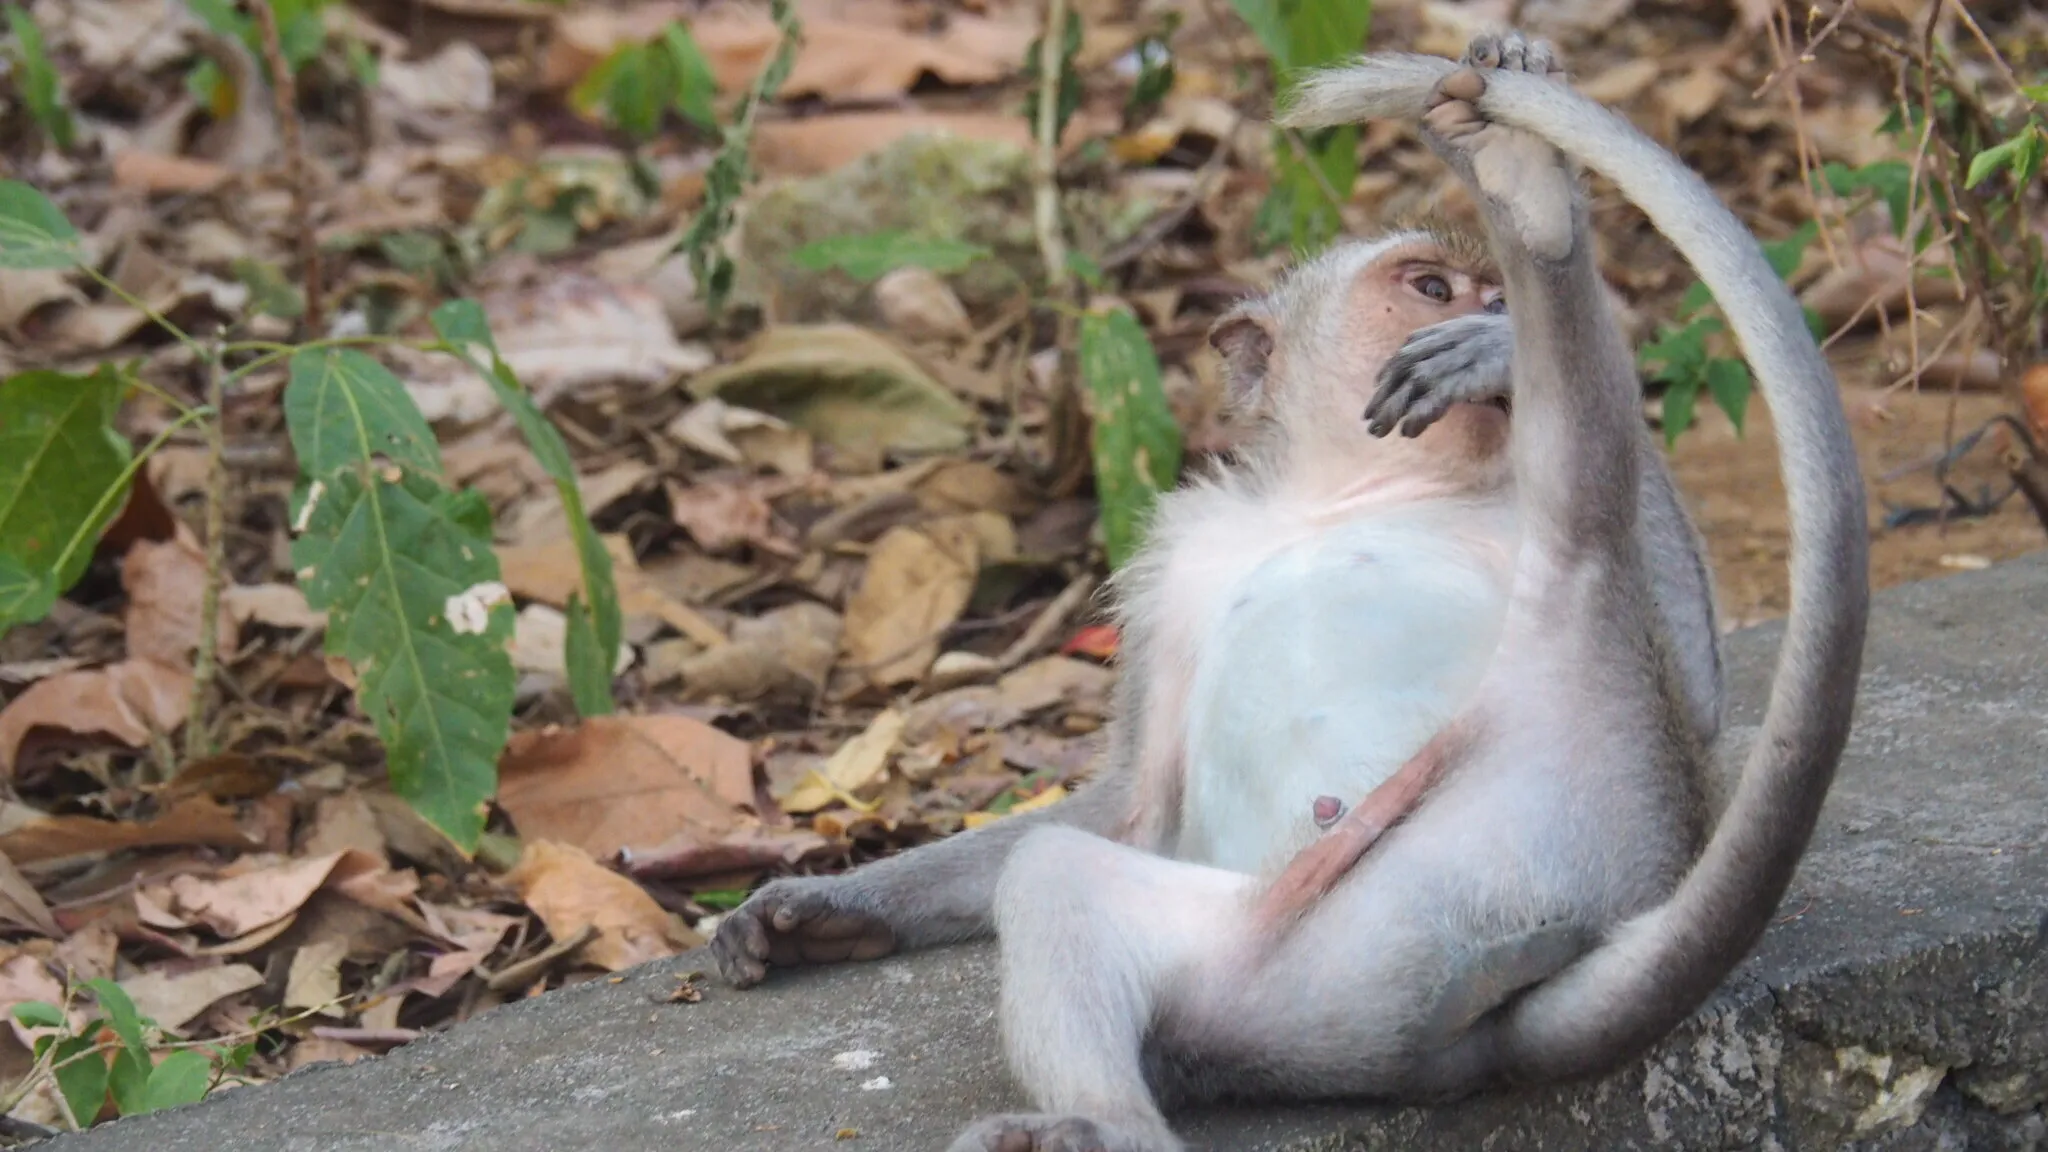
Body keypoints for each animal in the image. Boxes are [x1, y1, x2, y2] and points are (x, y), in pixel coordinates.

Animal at [707, 31, 1868, 1152]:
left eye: (1475, 293)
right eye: (1429, 286)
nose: (1492, 309)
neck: (1343, 496)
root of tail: (1482, 1037)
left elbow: (1701, 691)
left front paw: (1502, 346)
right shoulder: (1181, 559)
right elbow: (1135, 797)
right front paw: (821, 907)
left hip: (1502, 826)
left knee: (1583, 520)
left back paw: (1528, 199)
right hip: (1288, 962)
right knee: (1067, 884)